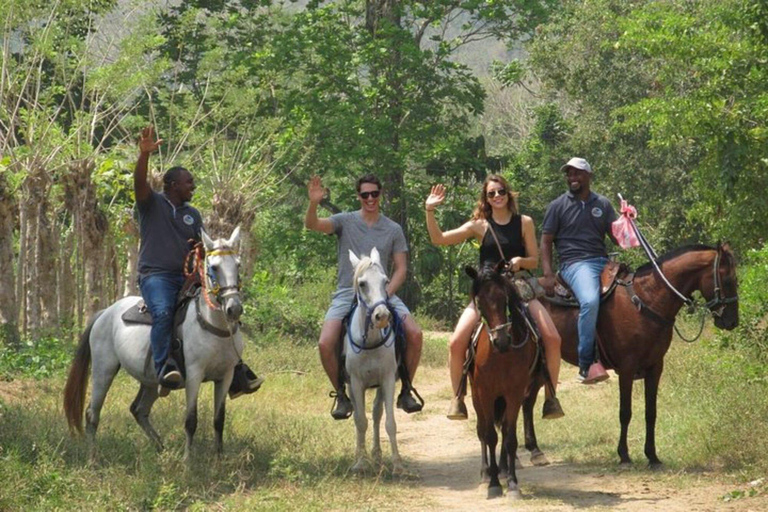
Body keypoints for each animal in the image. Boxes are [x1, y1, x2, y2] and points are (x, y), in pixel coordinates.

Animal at [64, 228, 243, 460]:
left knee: (138, 410)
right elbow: (191, 421)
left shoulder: (225, 376)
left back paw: (161, 449)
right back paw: (93, 459)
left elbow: (219, 420)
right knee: (92, 414)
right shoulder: (194, 375)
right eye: (214, 267)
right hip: (103, 370)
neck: (212, 325)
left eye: (238, 265)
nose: (234, 308)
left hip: (150, 380)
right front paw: (187, 461)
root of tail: (105, 313)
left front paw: (219, 460)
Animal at [344, 248, 402, 476]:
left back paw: (377, 454)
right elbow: (361, 421)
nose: (382, 316)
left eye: (385, 281)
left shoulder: (387, 380)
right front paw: (360, 461)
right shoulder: (356, 382)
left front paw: (396, 463)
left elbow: (389, 422)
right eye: (362, 283)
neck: (370, 343)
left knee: (377, 414)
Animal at [464, 262, 536, 498]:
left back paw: (503, 471)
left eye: (504, 298)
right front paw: (494, 484)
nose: (501, 340)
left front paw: (512, 483)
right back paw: (486, 474)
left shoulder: (514, 394)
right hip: (476, 396)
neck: (501, 356)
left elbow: (509, 437)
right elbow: (489, 436)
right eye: (479, 302)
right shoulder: (485, 394)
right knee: (482, 431)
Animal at [520, 244, 736, 468]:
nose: (732, 321)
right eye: (729, 280)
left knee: (527, 402)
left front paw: (652, 456)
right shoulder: (626, 368)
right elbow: (625, 412)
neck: (646, 299)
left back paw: (535, 450)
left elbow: (651, 412)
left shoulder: (655, 367)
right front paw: (624, 455)